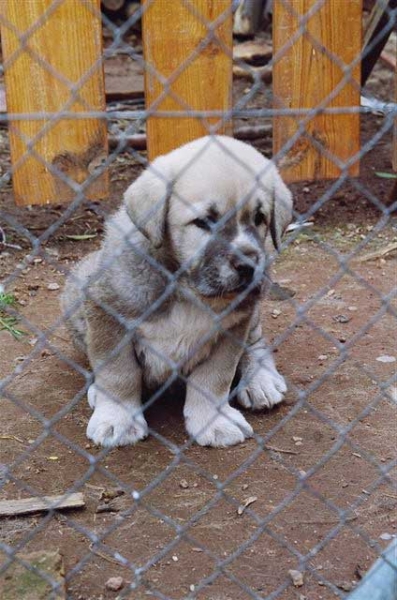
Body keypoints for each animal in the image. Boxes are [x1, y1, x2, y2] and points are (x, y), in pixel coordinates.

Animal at [62, 135, 290, 446]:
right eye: (204, 222)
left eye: (260, 218)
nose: (248, 266)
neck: (187, 288)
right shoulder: (107, 316)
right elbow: (118, 373)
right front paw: (117, 420)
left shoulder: (233, 326)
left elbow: (215, 377)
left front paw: (214, 421)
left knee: (256, 343)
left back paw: (261, 381)